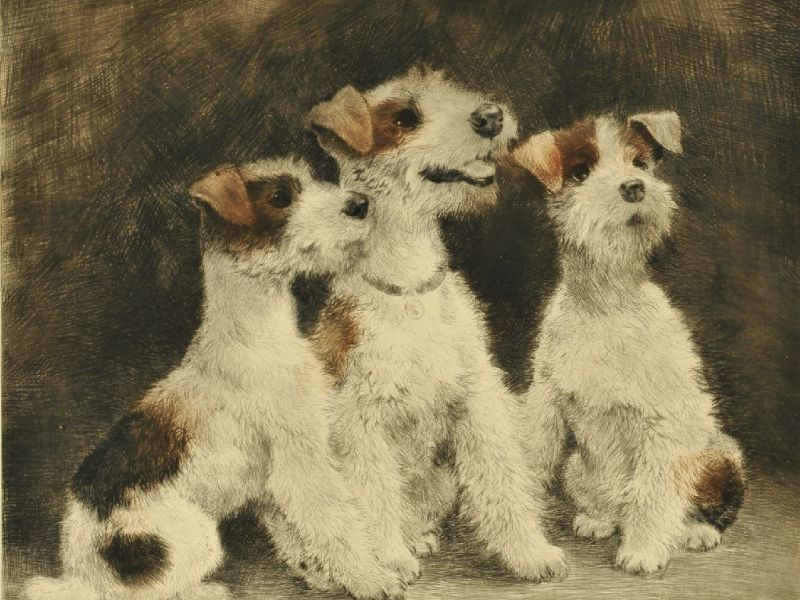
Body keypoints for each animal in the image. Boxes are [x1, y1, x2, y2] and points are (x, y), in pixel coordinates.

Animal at [23, 157, 404, 600]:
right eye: (280, 198)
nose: (360, 204)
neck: (253, 335)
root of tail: (81, 575)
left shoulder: (271, 481)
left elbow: (295, 531)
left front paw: (322, 573)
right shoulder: (301, 458)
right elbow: (335, 522)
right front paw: (372, 578)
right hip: (194, 535)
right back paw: (210, 590)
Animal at [306, 67, 568, 584]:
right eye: (405, 118)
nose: (490, 117)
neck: (409, 287)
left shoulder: (477, 398)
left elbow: (502, 478)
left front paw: (531, 553)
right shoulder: (361, 419)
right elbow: (373, 494)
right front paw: (389, 560)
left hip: (439, 482)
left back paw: (420, 538)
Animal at [512, 112, 746, 574]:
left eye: (640, 162)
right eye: (580, 172)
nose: (634, 187)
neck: (607, 303)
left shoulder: (662, 421)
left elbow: (651, 494)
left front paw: (643, 553)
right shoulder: (546, 401)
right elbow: (533, 455)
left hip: (720, 457)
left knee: (705, 506)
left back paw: (696, 532)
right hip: (578, 468)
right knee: (609, 502)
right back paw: (599, 519)